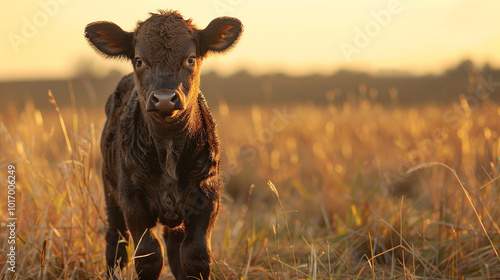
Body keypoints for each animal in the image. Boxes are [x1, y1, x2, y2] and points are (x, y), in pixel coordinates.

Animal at [84, 9, 242, 278]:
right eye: (139, 60)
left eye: (191, 59)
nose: (165, 98)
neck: (169, 145)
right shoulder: (132, 200)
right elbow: (148, 256)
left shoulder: (208, 196)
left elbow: (195, 255)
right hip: (110, 190)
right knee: (116, 242)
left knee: (175, 245)